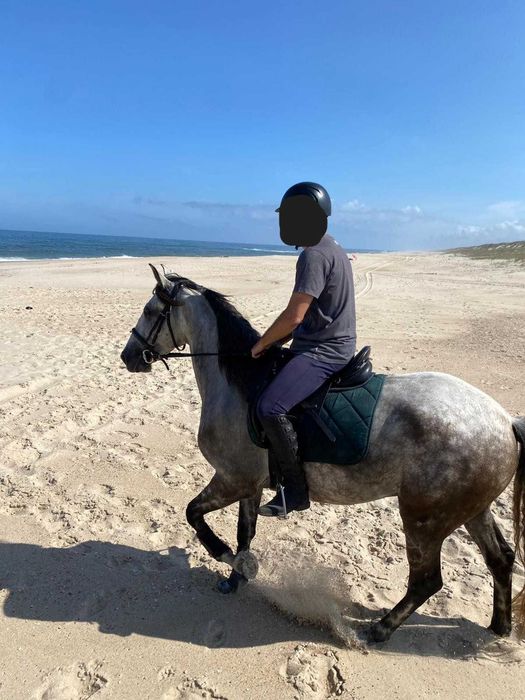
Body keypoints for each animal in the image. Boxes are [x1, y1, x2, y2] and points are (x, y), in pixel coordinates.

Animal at [120, 264, 525, 643]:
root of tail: (504, 421)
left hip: (424, 519)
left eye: (150, 310)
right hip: (470, 510)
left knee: (427, 580)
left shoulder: (232, 479)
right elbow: (244, 533)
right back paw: (500, 626)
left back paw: (379, 629)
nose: (128, 356)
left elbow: (194, 515)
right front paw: (236, 576)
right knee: (500, 558)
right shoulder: (250, 485)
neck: (238, 383)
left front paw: (231, 560)